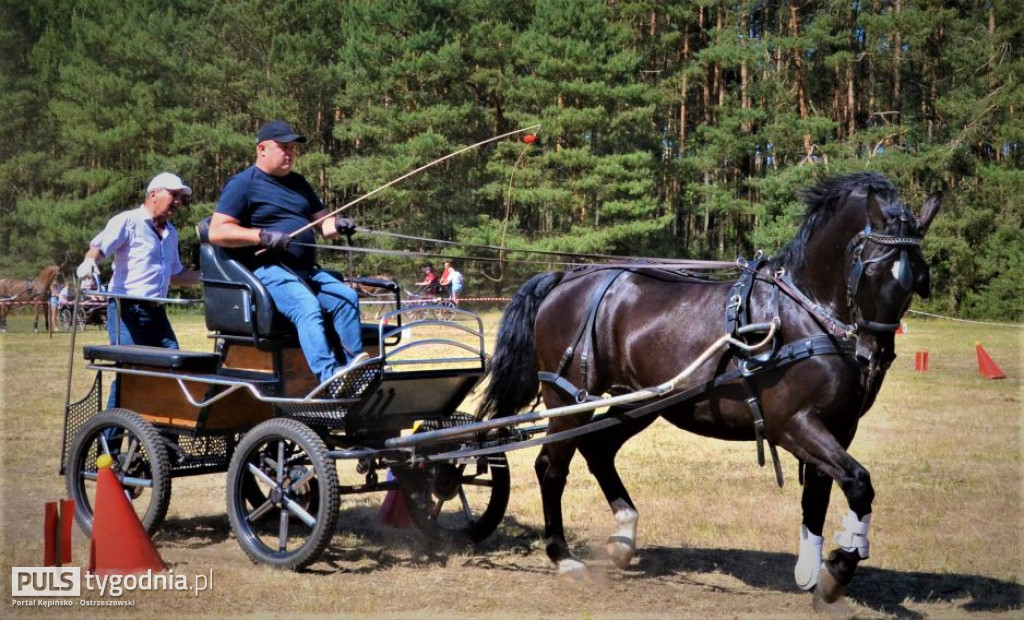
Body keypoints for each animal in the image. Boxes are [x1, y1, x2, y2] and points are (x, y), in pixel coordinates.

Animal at [479, 172, 942, 610]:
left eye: (918, 277)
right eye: (872, 270)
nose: (873, 357)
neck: (803, 313)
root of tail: (566, 279)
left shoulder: (838, 428)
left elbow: (820, 494)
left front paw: (814, 572)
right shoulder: (792, 424)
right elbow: (859, 482)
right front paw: (840, 567)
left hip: (642, 402)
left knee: (598, 449)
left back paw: (624, 538)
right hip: (569, 398)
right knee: (550, 467)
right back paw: (562, 556)